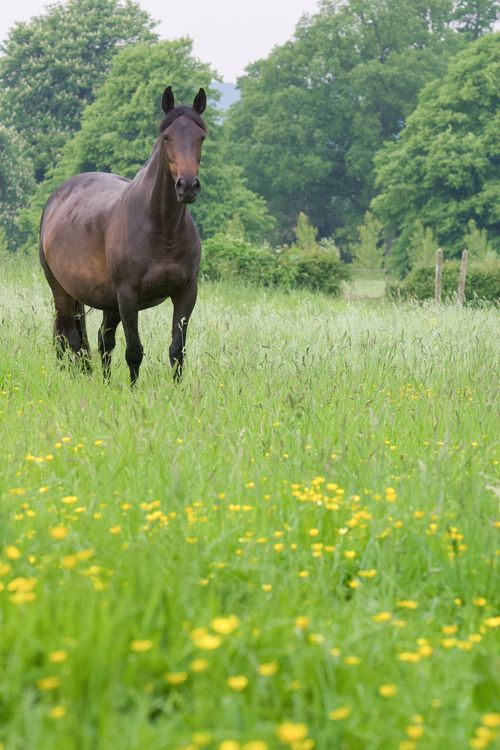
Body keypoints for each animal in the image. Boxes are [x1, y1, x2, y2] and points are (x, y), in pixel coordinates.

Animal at [39, 86, 207, 385]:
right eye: (166, 137)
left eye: (201, 137)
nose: (187, 186)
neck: (161, 227)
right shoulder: (129, 297)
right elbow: (134, 350)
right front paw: (133, 391)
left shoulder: (186, 294)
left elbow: (177, 350)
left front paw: (178, 391)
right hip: (63, 291)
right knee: (72, 339)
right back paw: (83, 380)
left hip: (109, 302)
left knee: (102, 341)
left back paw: (103, 382)